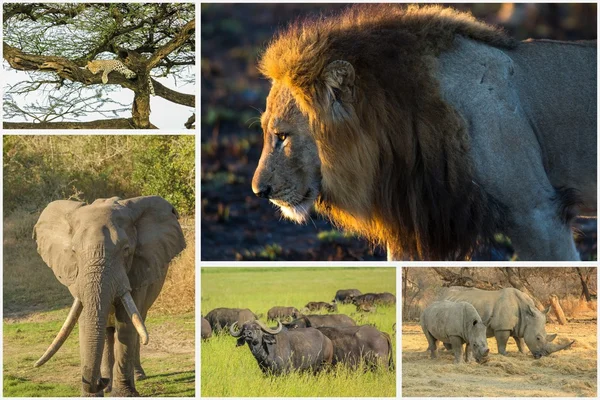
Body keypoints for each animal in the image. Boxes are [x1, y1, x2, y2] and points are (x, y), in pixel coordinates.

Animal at [30, 195, 184, 396]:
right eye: (74, 251)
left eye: (126, 250)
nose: (99, 381)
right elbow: (85, 320)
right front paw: (93, 394)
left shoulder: (137, 272)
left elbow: (127, 323)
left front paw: (124, 394)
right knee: (108, 331)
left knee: (137, 322)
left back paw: (136, 376)